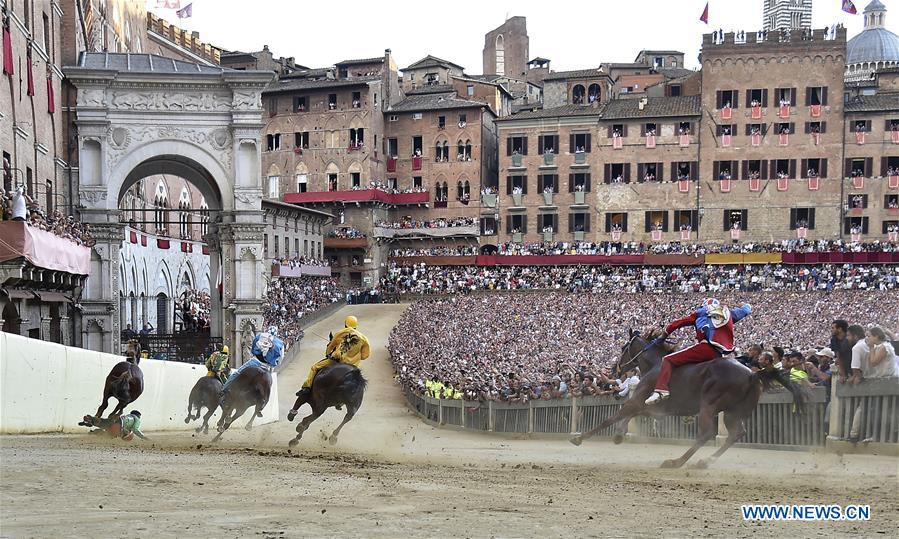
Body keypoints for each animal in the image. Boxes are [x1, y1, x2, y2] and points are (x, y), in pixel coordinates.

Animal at [572, 330, 804, 468]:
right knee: (736, 433)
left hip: (709, 405)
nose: (616, 369)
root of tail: (752, 374)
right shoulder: (657, 408)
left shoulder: (637, 399)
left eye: (623, 348)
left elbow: (611, 418)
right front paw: (619, 435)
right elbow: (631, 416)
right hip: (733, 411)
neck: (657, 364)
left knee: (706, 434)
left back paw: (676, 461)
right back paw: (705, 461)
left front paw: (580, 437)